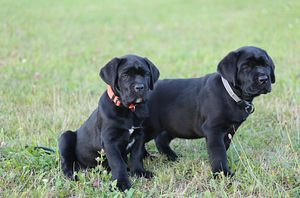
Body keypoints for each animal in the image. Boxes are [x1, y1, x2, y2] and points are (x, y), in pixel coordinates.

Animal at [59, 55, 161, 191]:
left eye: (146, 74)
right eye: (125, 76)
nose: (140, 87)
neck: (129, 110)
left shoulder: (139, 135)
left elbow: (136, 155)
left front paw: (139, 172)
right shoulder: (110, 141)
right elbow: (117, 162)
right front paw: (121, 183)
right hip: (66, 136)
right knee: (67, 162)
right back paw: (72, 173)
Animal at [144, 46, 276, 176]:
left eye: (266, 65)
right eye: (246, 67)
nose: (264, 78)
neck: (230, 93)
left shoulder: (230, 129)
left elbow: (224, 147)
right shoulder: (213, 129)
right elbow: (219, 151)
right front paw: (222, 172)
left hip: (174, 124)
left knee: (160, 138)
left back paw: (171, 156)